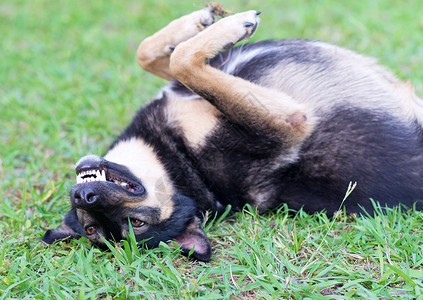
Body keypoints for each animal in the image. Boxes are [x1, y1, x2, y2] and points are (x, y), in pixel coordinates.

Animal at [42, 5, 423, 262]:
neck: (180, 162)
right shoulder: (289, 123)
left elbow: (151, 55)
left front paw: (201, 21)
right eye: (94, 228)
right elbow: (184, 62)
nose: (84, 197)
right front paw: (234, 24)